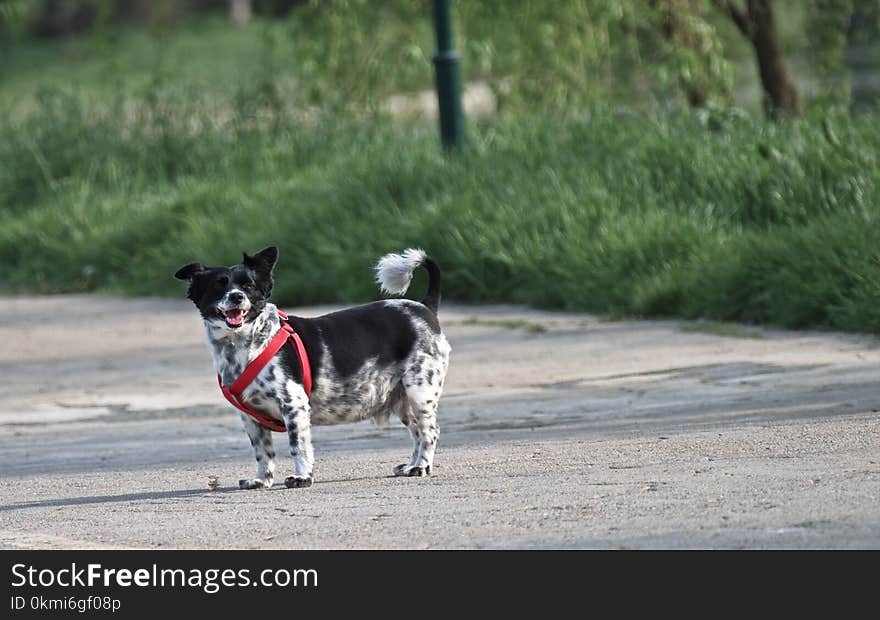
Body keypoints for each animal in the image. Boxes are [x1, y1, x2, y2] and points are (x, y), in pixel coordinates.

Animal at [177, 247, 454, 490]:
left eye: (248, 286)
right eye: (219, 285)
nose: (236, 296)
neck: (245, 346)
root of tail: (424, 307)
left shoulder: (294, 405)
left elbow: (298, 447)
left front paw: (302, 477)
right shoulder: (250, 418)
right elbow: (263, 452)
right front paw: (262, 480)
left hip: (420, 392)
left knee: (430, 431)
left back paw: (421, 466)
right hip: (402, 401)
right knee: (417, 432)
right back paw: (412, 465)